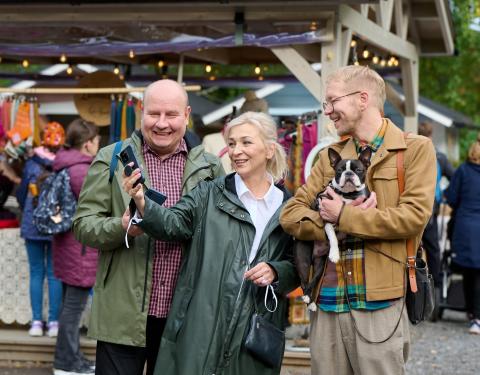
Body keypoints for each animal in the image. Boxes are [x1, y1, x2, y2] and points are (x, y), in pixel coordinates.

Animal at [292, 147, 376, 312]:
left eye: (358, 170)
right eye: (339, 170)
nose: (348, 174)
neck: (348, 195)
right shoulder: (326, 216)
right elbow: (333, 237)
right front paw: (335, 254)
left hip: (319, 264)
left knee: (314, 279)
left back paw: (312, 303)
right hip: (303, 259)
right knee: (304, 282)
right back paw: (307, 298)